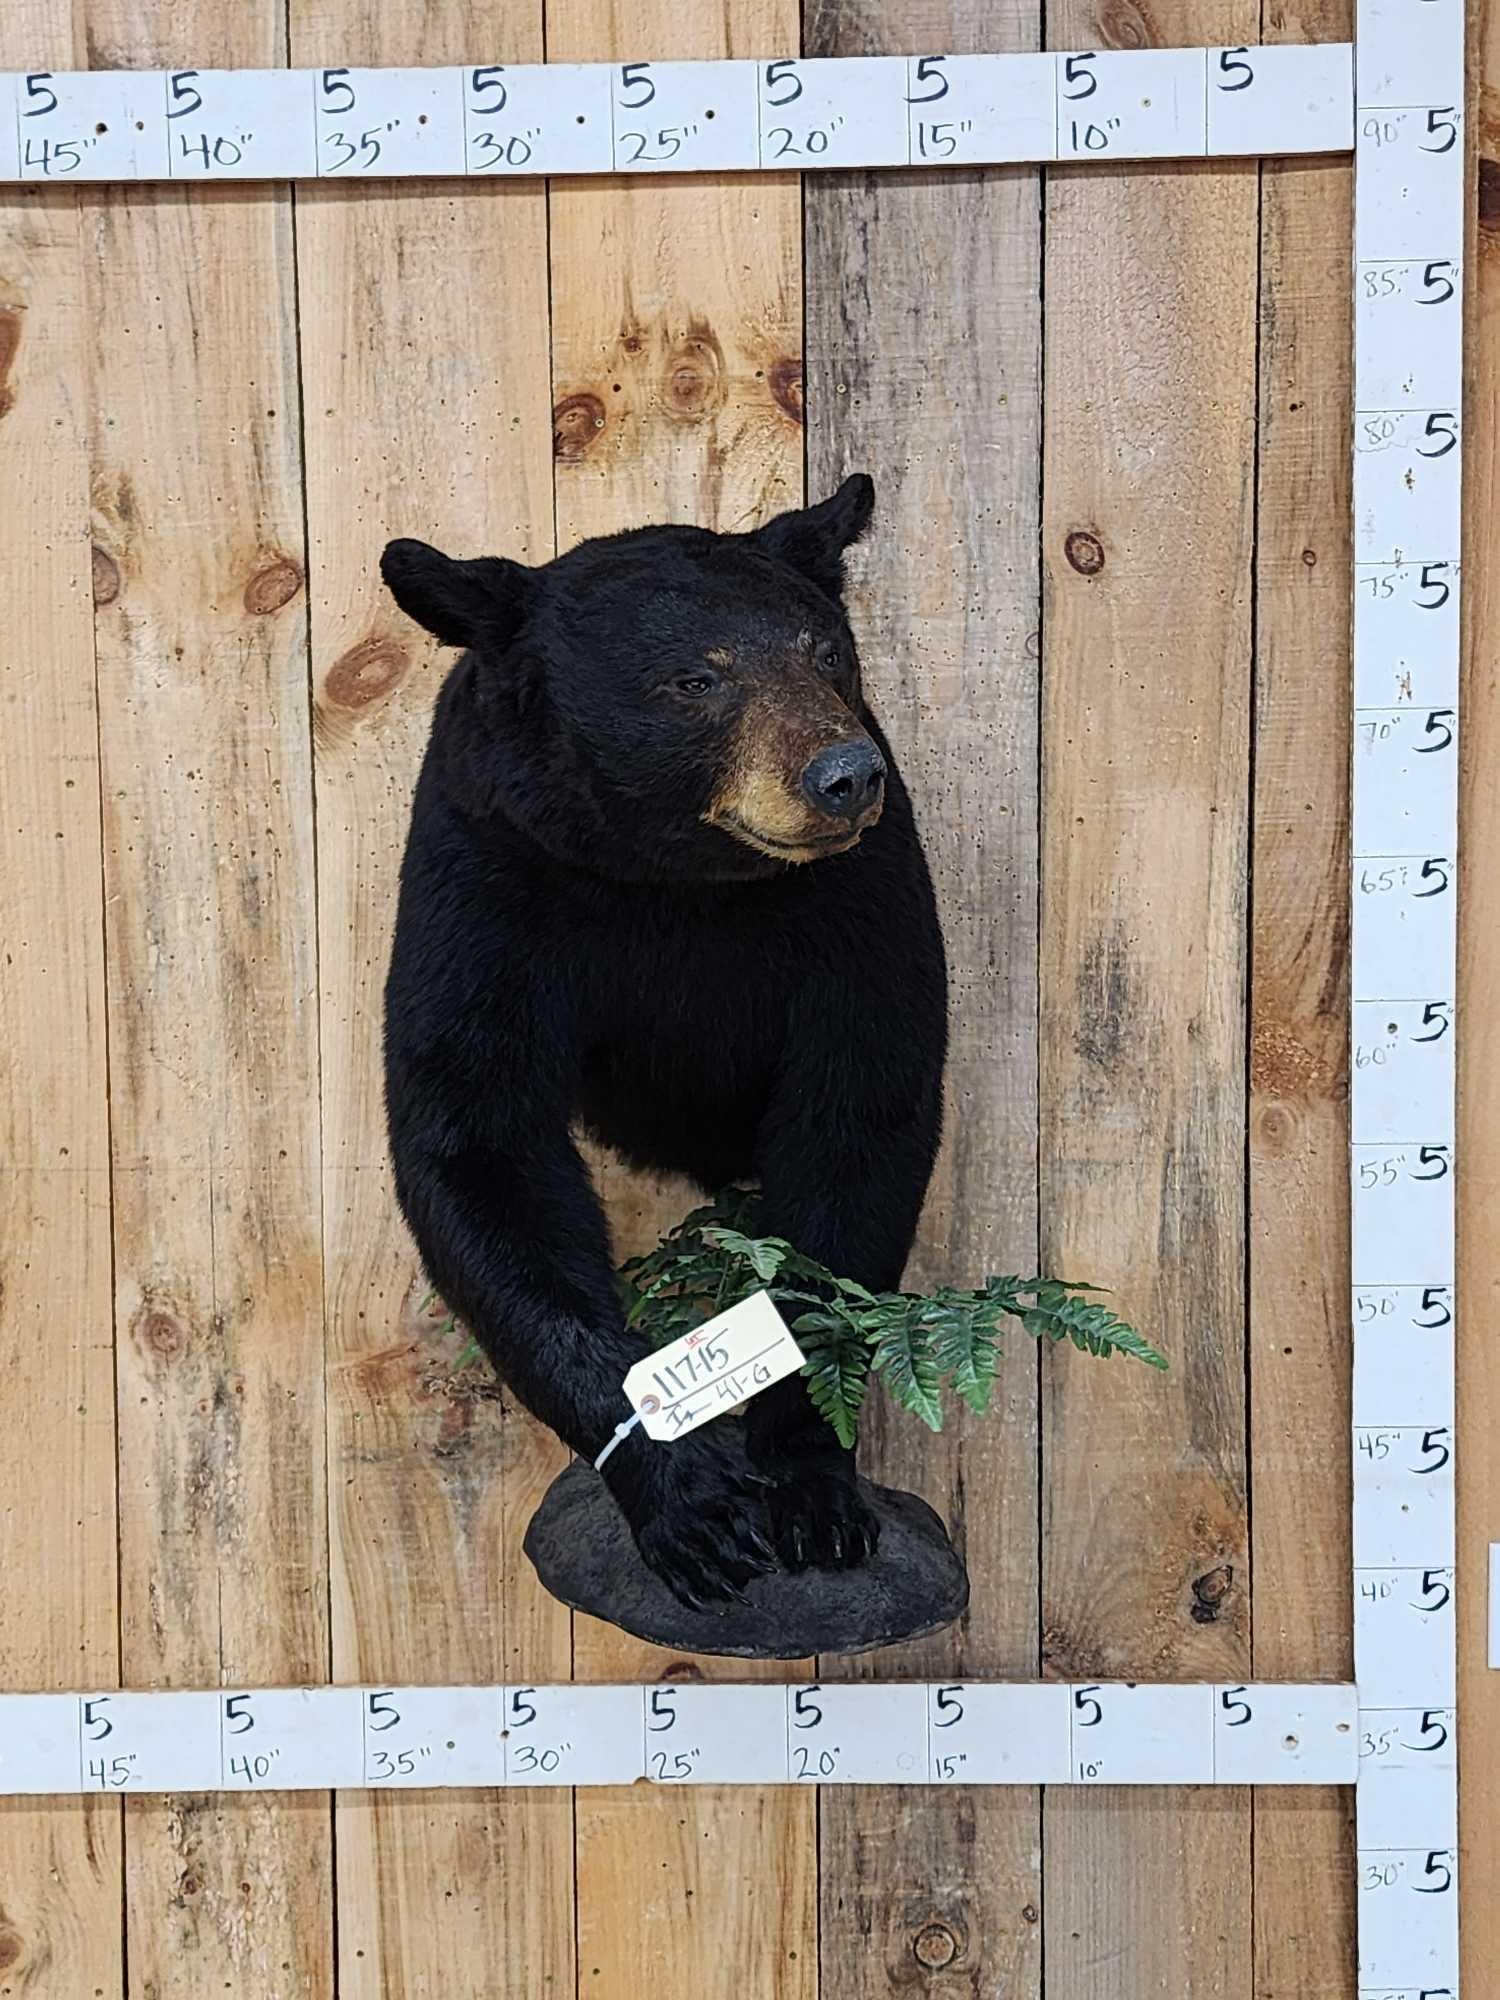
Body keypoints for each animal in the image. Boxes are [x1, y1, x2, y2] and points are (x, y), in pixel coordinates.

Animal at [379, 474, 948, 1611]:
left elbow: (859, 1121)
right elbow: (476, 1139)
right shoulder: (487, 870)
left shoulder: (860, 902)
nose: (844, 775)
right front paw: (687, 1501)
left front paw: (811, 1488)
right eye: (696, 678)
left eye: (827, 651)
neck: (676, 879)